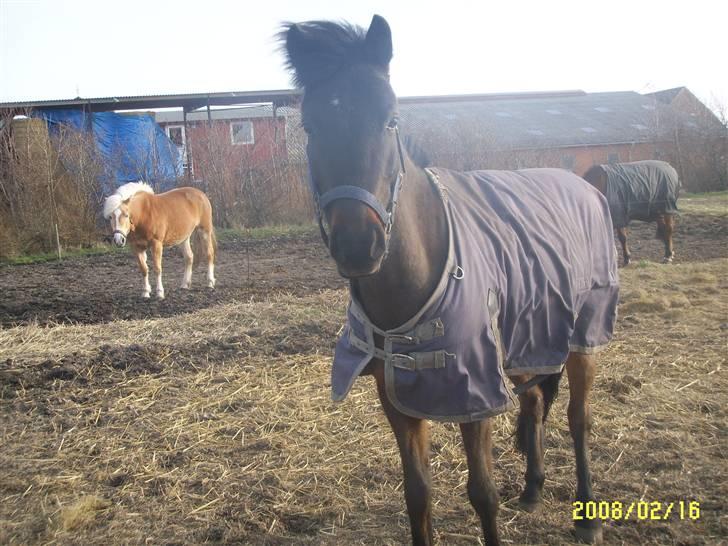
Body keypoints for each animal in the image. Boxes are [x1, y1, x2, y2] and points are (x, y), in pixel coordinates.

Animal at [281, 16, 619, 545]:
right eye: (310, 127)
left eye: (392, 120)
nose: (358, 245)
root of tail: (586, 184)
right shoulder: (397, 399)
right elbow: (417, 494)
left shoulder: (476, 396)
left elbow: (483, 494)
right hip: (527, 337)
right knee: (535, 402)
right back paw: (533, 488)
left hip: (583, 338)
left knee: (578, 419)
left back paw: (588, 517)